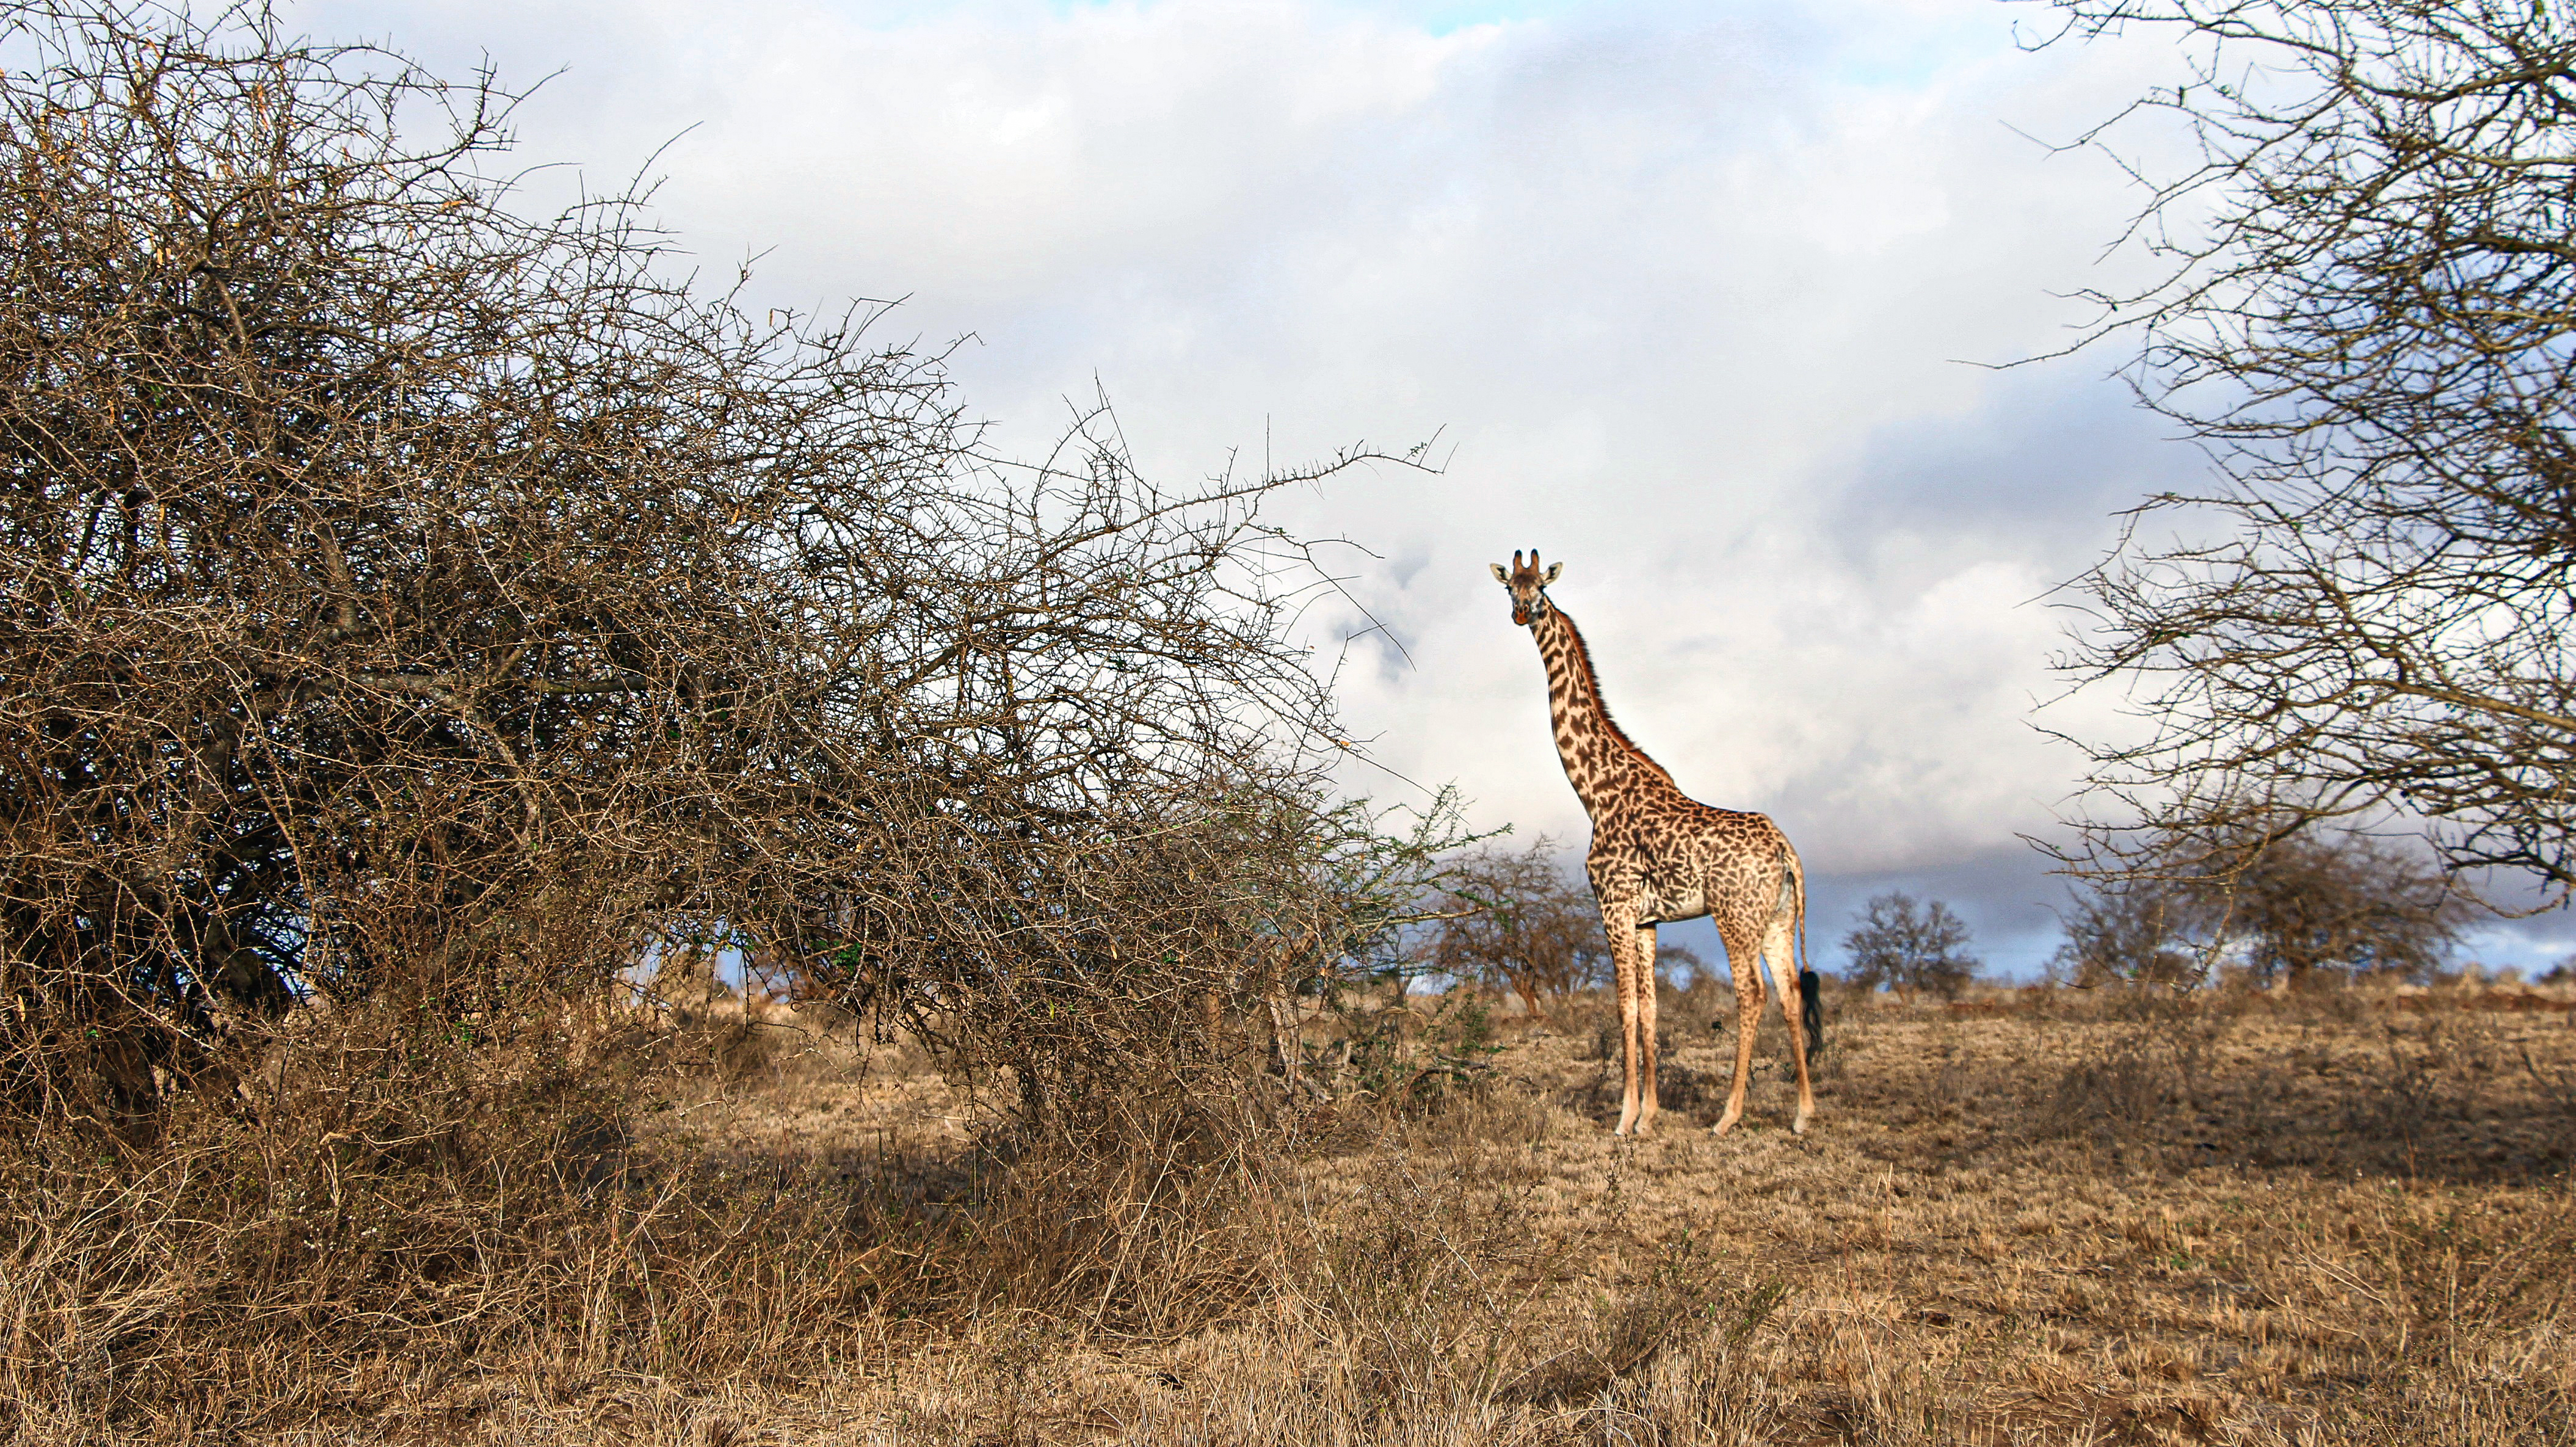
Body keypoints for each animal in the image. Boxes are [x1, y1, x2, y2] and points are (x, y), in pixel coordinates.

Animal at [1484, 546, 1824, 1133]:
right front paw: (1648, 1116)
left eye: (1541, 588)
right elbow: (1650, 1009)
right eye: (1510, 587)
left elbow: (1623, 1006)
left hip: (1734, 914)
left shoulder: (1613, 905)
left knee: (1751, 993)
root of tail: (1786, 852)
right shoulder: (1646, 919)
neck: (1594, 791)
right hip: (1777, 918)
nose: (1522, 613)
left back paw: (1727, 1117)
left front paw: (1623, 1120)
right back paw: (1802, 1115)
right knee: (1789, 992)